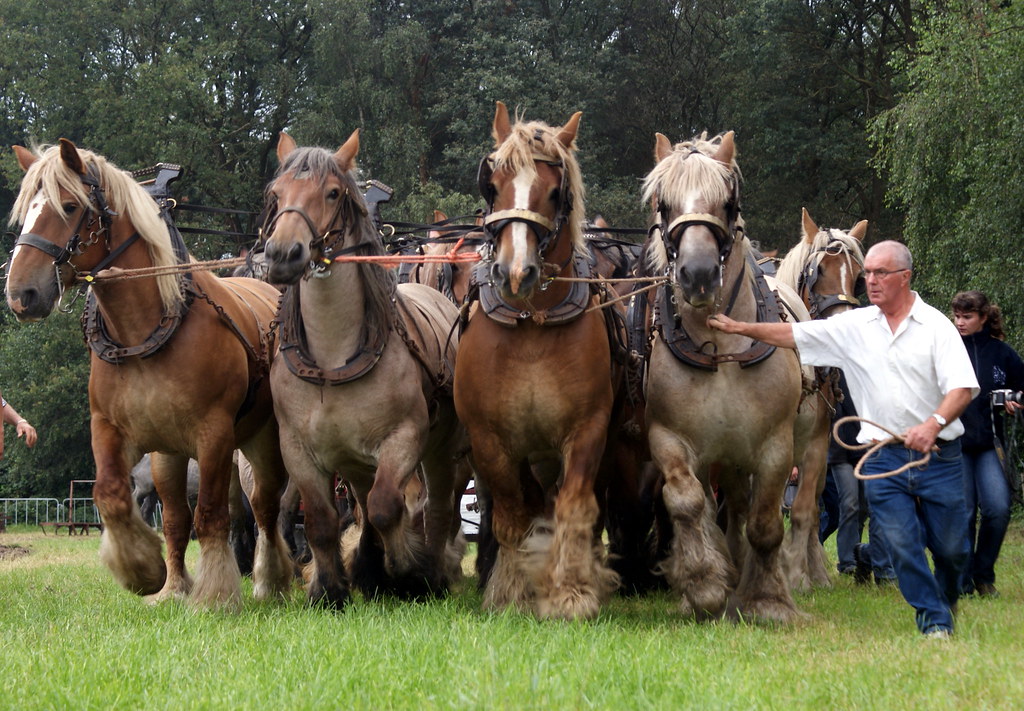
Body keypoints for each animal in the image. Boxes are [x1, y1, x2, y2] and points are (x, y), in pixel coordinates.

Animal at [8, 140, 294, 614]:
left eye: (69, 206)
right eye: (24, 212)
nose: (20, 294)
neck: (143, 334)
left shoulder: (214, 434)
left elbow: (210, 514)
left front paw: (213, 596)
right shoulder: (112, 429)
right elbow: (113, 496)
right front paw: (147, 573)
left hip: (261, 439)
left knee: (265, 507)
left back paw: (271, 580)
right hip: (169, 455)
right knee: (183, 516)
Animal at [454, 100, 614, 618]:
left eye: (554, 192)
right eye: (493, 183)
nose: (514, 272)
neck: (532, 326)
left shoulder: (587, 430)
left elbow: (574, 507)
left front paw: (571, 592)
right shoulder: (490, 440)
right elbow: (510, 515)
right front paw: (511, 592)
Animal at [643, 131, 802, 622]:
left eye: (728, 202)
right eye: (664, 204)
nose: (697, 274)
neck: (724, 348)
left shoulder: (776, 445)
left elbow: (765, 521)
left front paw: (768, 599)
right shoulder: (669, 438)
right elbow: (689, 504)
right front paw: (704, 585)